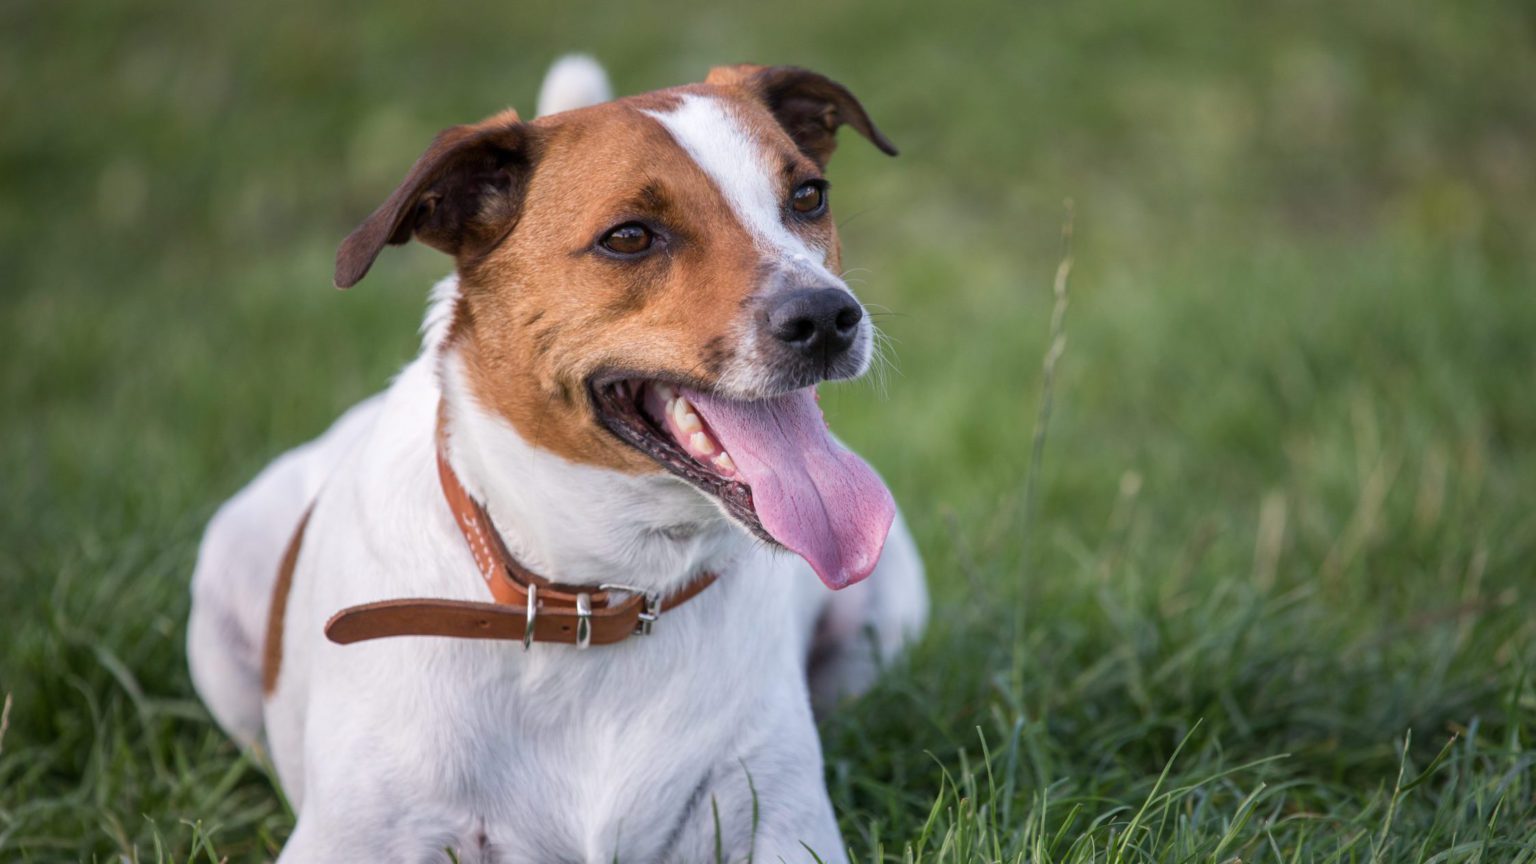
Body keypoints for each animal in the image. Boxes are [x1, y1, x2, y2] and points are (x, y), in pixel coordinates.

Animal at [179, 57, 921, 854]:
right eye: (629, 237)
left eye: (808, 196)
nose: (827, 316)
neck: (597, 596)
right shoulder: (354, 839)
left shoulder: (779, 824)